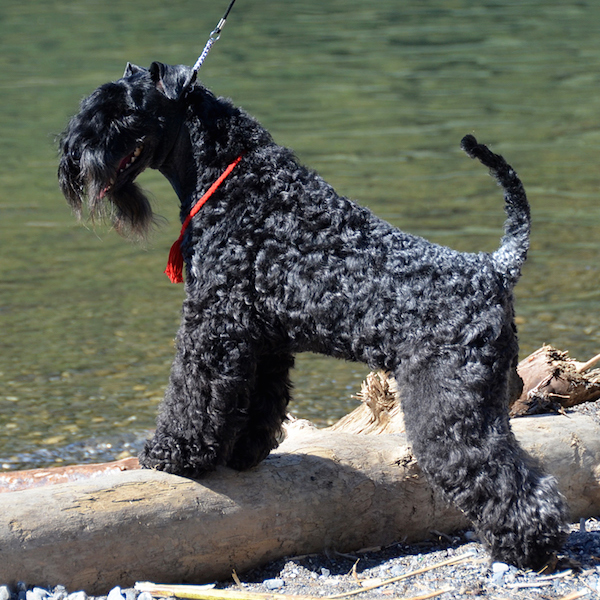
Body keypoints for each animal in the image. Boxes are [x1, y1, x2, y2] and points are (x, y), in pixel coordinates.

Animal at [59, 63, 568, 568]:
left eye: (122, 111)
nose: (70, 157)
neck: (234, 179)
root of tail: (494, 268)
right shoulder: (262, 339)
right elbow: (257, 400)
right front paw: (241, 454)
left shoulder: (212, 322)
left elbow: (193, 392)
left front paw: (172, 453)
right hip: (488, 396)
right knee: (530, 469)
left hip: (449, 399)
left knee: (489, 468)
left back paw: (525, 546)